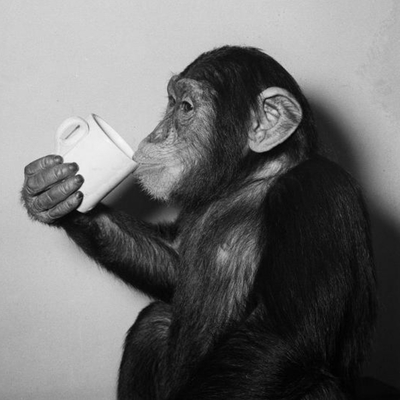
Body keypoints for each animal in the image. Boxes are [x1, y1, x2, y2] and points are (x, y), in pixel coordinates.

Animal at [21, 45, 378, 398]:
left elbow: (281, 335)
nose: (156, 133)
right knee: (154, 323)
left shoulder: (314, 193)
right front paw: (51, 191)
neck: (250, 179)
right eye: (171, 102)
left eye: (186, 107)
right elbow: (173, 262)